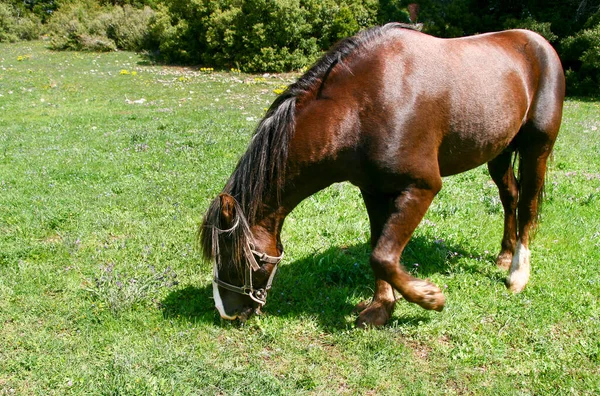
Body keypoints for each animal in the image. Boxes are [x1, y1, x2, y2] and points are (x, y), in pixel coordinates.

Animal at [199, 24, 564, 328]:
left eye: (237, 258)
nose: (226, 312)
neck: (362, 106)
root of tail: (538, 42)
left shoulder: (422, 187)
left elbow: (383, 256)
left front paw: (430, 297)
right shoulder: (373, 190)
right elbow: (379, 249)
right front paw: (381, 307)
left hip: (536, 149)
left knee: (528, 204)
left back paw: (517, 273)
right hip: (497, 152)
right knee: (509, 197)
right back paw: (503, 256)